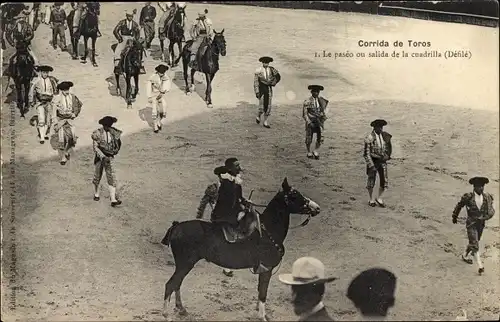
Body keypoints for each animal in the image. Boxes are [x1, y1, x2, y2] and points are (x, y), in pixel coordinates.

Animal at [162, 177, 322, 320]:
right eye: (294, 195)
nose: (317, 208)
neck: (268, 231)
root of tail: (177, 226)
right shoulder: (267, 269)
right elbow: (263, 294)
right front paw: (262, 317)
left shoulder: (263, 270)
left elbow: (260, 291)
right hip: (185, 264)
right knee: (171, 284)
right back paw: (166, 314)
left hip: (184, 265)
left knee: (177, 284)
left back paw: (181, 309)